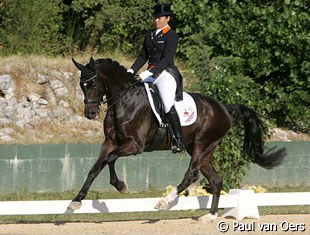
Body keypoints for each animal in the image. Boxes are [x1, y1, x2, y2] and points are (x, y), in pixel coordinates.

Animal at [68, 57, 286, 222]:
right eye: (81, 85)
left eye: (93, 83)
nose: (90, 113)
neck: (125, 100)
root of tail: (223, 107)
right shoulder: (110, 143)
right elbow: (95, 168)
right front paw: (76, 201)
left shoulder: (135, 146)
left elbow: (111, 159)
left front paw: (121, 186)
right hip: (203, 149)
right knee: (215, 180)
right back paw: (210, 216)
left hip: (202, 144)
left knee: (191, 174)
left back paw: (165, 201)